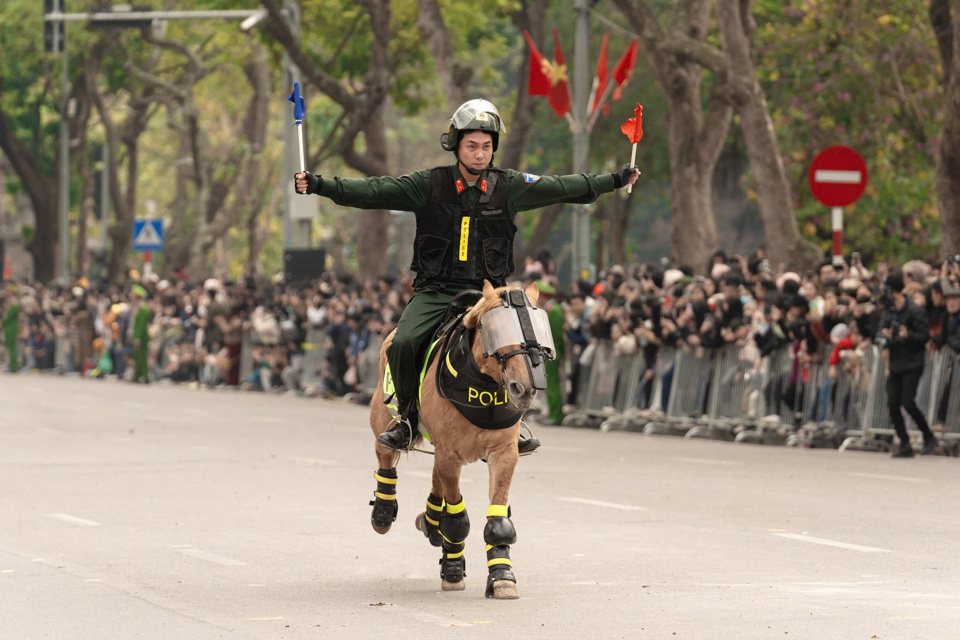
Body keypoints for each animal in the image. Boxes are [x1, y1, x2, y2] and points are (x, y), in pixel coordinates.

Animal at [368, 282, 552, 600]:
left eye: (537, 330)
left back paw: (431, 520)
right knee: (386, 458)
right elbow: (457, 519)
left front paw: (502, 576)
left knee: (434, 483)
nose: (525, 388)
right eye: (495, 330)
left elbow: (497, 519)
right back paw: (384, 511)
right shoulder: (449, 454)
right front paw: (453, 570)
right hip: (382, 419)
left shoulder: (503, 453)